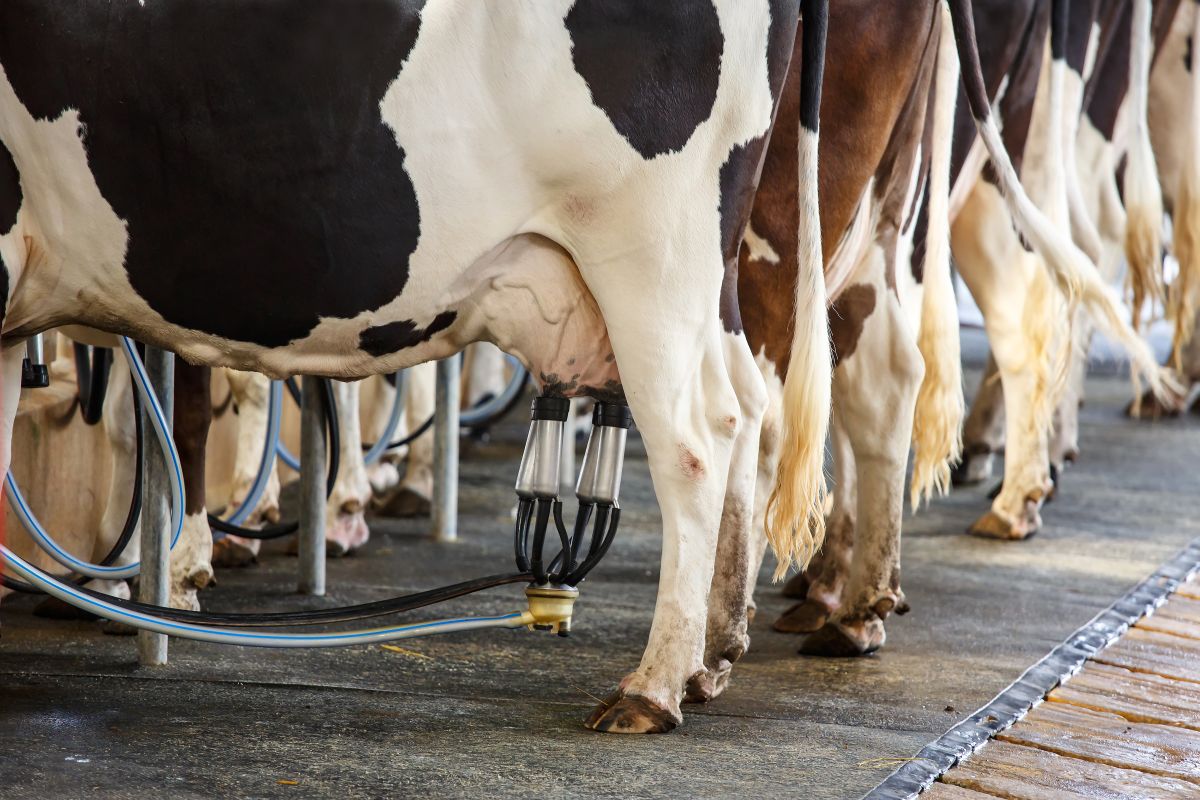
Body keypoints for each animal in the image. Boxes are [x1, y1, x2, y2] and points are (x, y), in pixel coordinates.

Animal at [0, 0, 832, 734]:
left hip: (650, 254)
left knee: (696, 439)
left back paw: (653, 687)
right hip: (704, 280)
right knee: (748, 404)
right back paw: (709, 656)